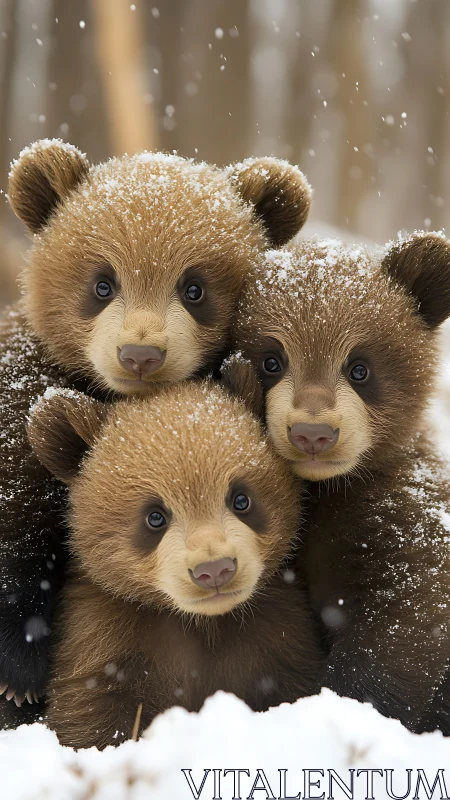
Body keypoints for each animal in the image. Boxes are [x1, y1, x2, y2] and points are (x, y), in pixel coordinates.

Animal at [26, 381, 323, 749]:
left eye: (241, 499)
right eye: (155, 516)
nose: (214, 569)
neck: (202, 623)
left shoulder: (277, 636)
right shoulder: (105, 638)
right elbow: (89, 712)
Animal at [223, 233, 450, 733]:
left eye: (359, 367)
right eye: (272, 360)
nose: (313, 433)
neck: (325, 490)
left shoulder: (397, 517)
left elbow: (405, 620)